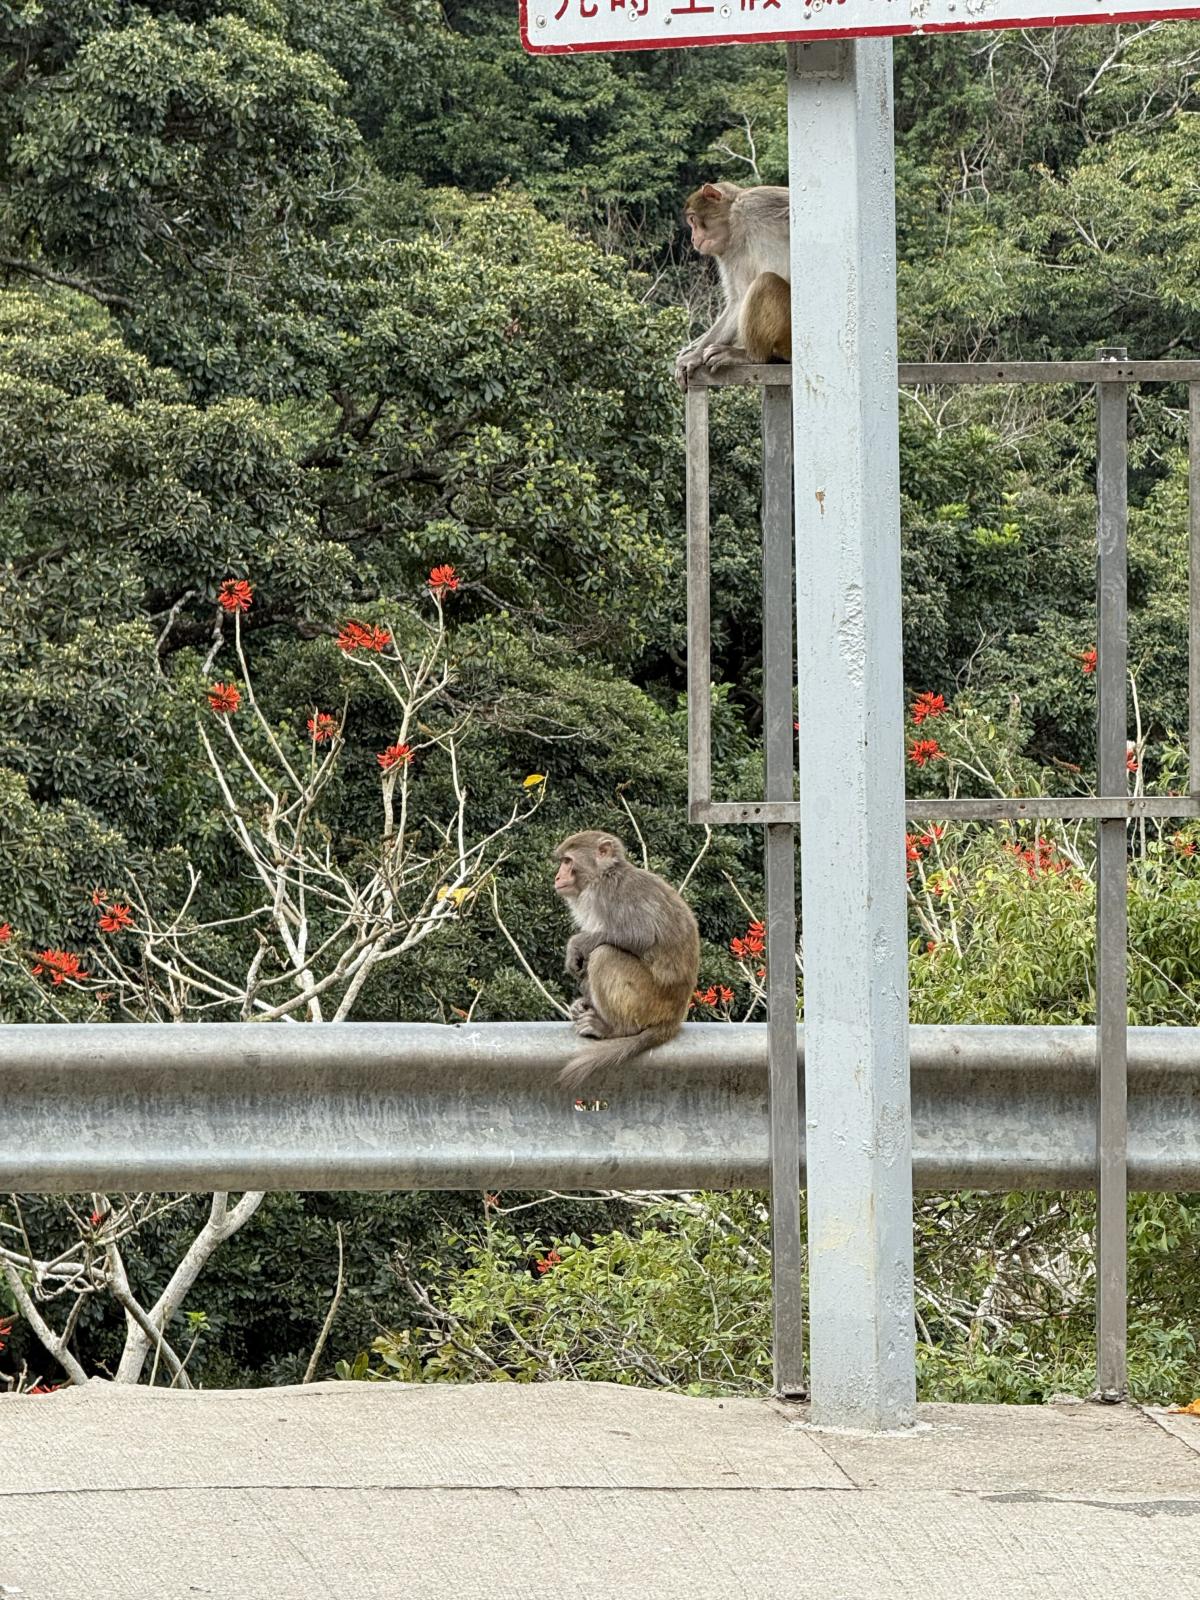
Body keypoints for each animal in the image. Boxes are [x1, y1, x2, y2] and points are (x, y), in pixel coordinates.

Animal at [553, 830, 701, 1093]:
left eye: (568, 861)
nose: (558, 876)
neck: (601, 877)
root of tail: (674, 1018)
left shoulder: (613, 895)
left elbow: (639, 935)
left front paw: (576, 944)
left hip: (649, 1001)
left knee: (604, 954)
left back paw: (613, 1029)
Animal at [675, 181, 791, 389]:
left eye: (693, 220)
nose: (693, 239)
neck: (736, 225)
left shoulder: (755, 202)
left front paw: (693, 354)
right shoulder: (728, 251)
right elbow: (737, 301)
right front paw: (694, 353)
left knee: (765, 282)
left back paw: (750, 357)